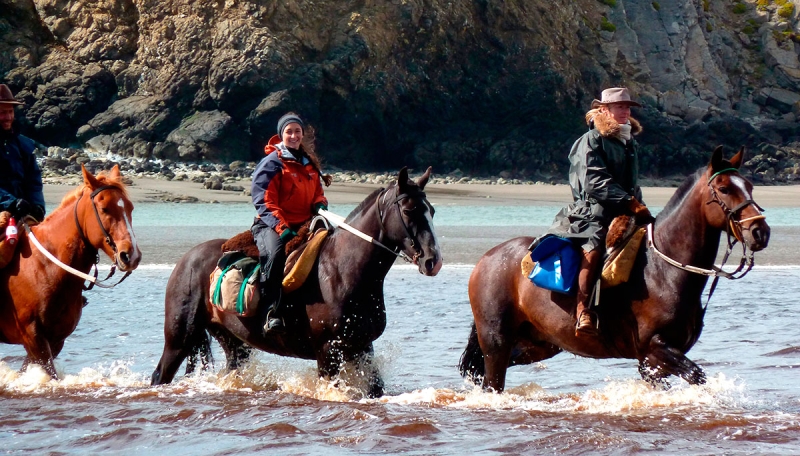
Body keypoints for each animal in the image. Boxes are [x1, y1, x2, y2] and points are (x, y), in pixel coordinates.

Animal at [0, 166, 141, 380]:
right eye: (104, 209)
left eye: (130, 208)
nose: (131, 255)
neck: (45, 267)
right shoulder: (33, 337)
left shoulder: (54, 340)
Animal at [148, 167, 438, 396]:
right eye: (409, 210)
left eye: (432, 211)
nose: (432, 260)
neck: (344, 271)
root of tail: (186, 258)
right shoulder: (328, 352)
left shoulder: (361, 347)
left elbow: (376, 388)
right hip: (179, 338)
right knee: (160, 375)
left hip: (234, 343)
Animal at [462, 147, 768, 392]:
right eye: (725, 189)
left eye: (750, 186)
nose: (760, 232)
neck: (664, 272)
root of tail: (487, 259)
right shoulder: (654, 348)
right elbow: (698, 375)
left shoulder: (654, 361)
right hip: (496, 341)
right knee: (492, 380)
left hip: (536, 344)